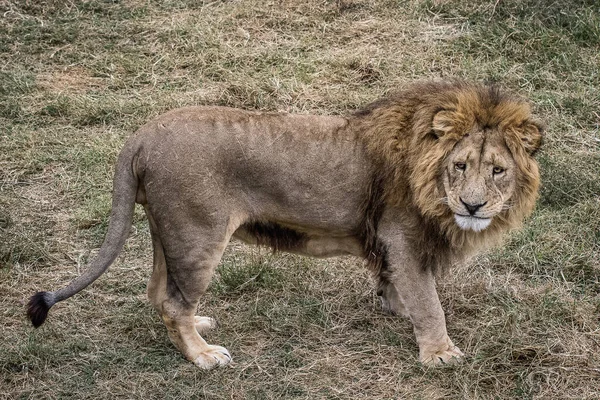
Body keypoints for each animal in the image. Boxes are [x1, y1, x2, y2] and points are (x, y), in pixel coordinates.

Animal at [28, 79, 544, 368]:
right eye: (460, 166)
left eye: (498, 170)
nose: (473, 206)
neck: (430, 181)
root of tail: (141, 135)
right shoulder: (403, 237)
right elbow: (430, 302)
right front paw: (439, 355)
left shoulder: (391, 244)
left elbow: (400, 287)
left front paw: (396, 308)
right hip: (198, 235)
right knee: (173, 303)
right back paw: (203, 356)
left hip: (167, 230)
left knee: (159, 293)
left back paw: (201, 326)